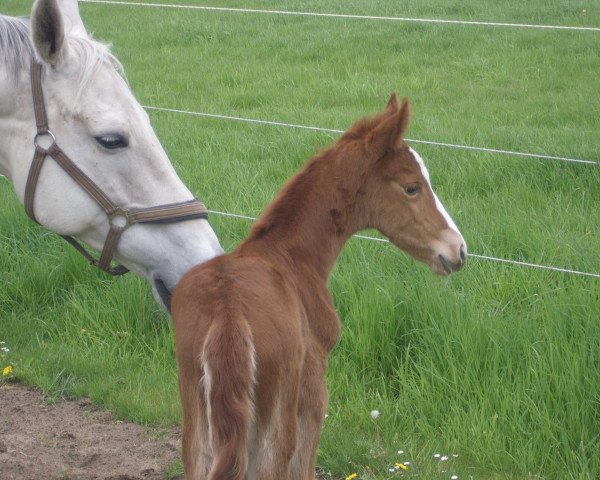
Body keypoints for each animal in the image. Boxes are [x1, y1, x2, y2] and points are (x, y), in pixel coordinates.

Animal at [171, 94, 466, 480]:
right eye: (412, 187)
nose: (458, 250)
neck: (291, 256)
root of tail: (228, 319)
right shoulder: (314, 390)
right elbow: (306, 467)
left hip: (196, 420)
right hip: (276, 422)